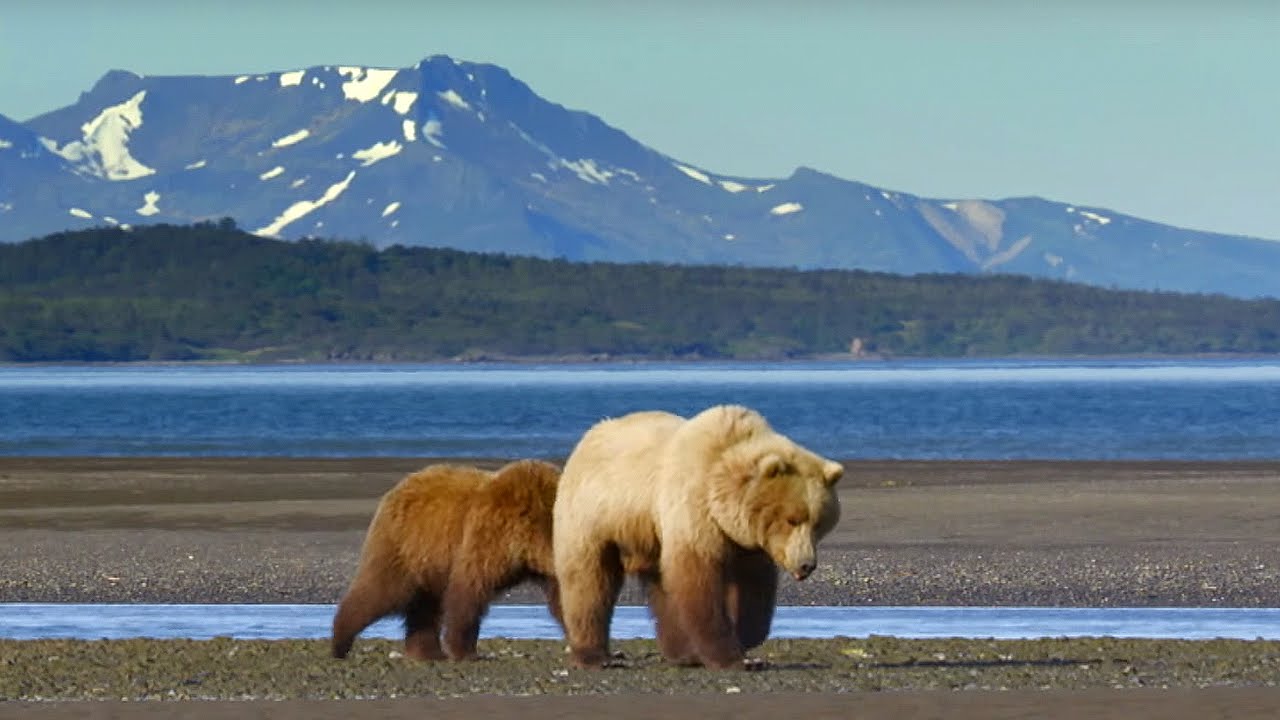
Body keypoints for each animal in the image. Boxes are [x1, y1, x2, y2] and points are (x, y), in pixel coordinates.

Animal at [331, 458, 563, 661]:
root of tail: (398, 487)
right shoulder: (492, 535)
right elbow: (468, 592)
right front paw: (466, 652)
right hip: (404, 545)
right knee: (381, 591)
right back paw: (340, 643)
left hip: (429, 561)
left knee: (425, 606)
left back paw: (427, 651)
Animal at [551, 404, 843, 670]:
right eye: (792, 520)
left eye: (818, 523)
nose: (806, 564)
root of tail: (588, 437)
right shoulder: (693, 509)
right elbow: (699, 582)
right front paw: (731, 657)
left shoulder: (746, 542)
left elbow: (753, 586)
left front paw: (748, 637)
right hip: (593, 518)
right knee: (588, 582)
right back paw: (594, 656)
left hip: (650, 538)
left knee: (662, 588)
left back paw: (683, 653)